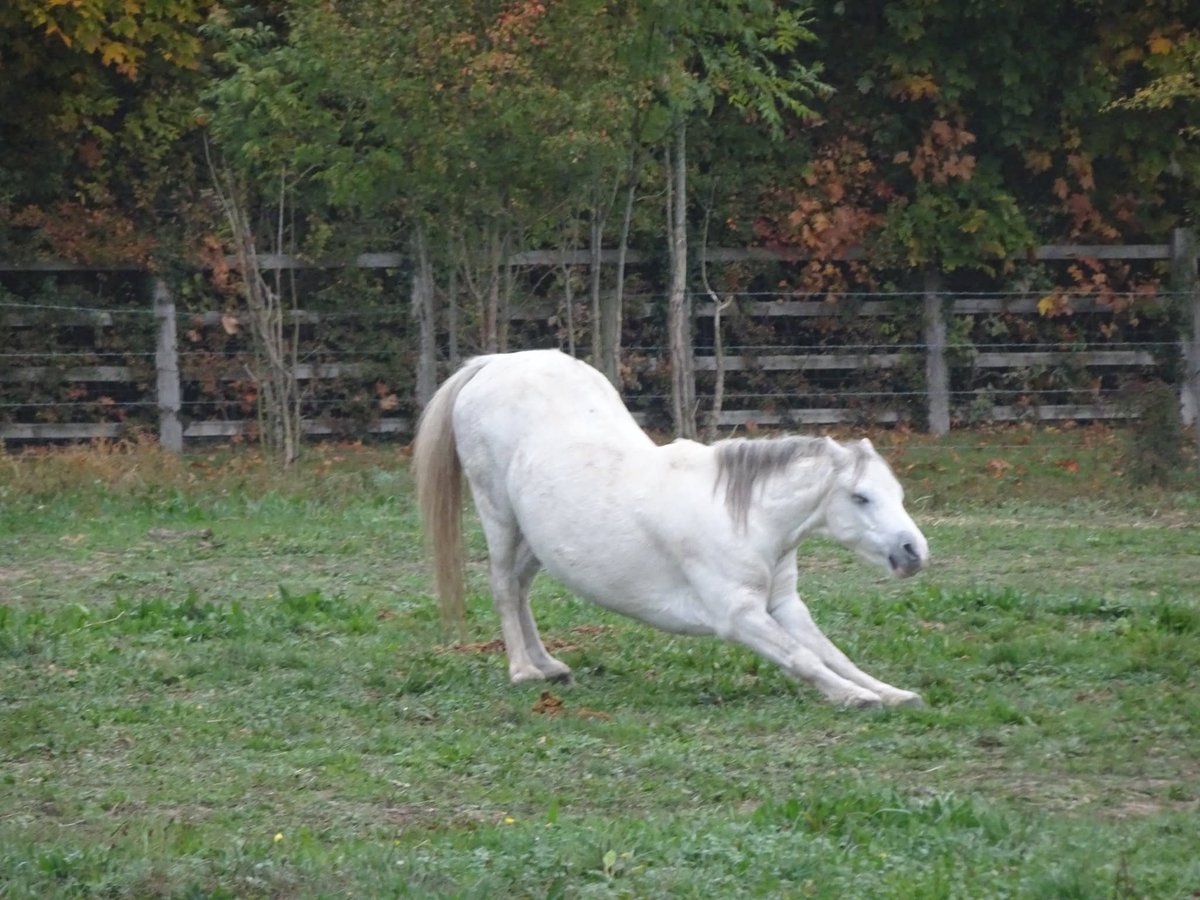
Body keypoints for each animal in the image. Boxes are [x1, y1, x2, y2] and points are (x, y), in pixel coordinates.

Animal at [412, 349, 930, 708]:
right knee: (503, 585)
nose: (913, 552)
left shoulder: (783, 605)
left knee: (519, 588)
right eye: (860, 497)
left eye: (897, 493)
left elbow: (832, 653)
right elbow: (802, 657)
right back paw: (523, 671)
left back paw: (549, 665)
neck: (746, 517)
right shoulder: (738, 615)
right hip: (498, 514)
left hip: (535, 538)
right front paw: (856, 698)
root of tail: (496, 362)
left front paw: (894, 693)